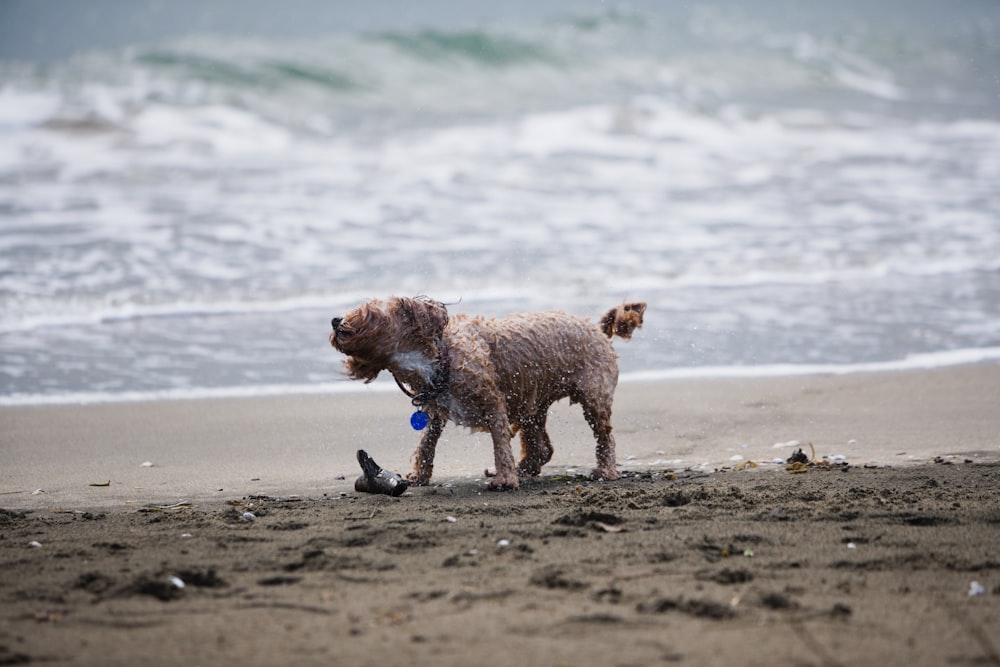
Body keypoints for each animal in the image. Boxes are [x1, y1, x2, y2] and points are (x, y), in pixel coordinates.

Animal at [330, 298, 648, 490]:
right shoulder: (435, 408)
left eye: (369, 313)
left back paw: (605, 470)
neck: (441, 356)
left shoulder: (493, 403)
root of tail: (597, 329)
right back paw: (525, 468)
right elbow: (427, 442)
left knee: (604, 437)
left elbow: (499, 443)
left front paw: (505, 478)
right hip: (532, 404)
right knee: (542, 448)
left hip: (593, 398)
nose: (335, 320)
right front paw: (421, 475)